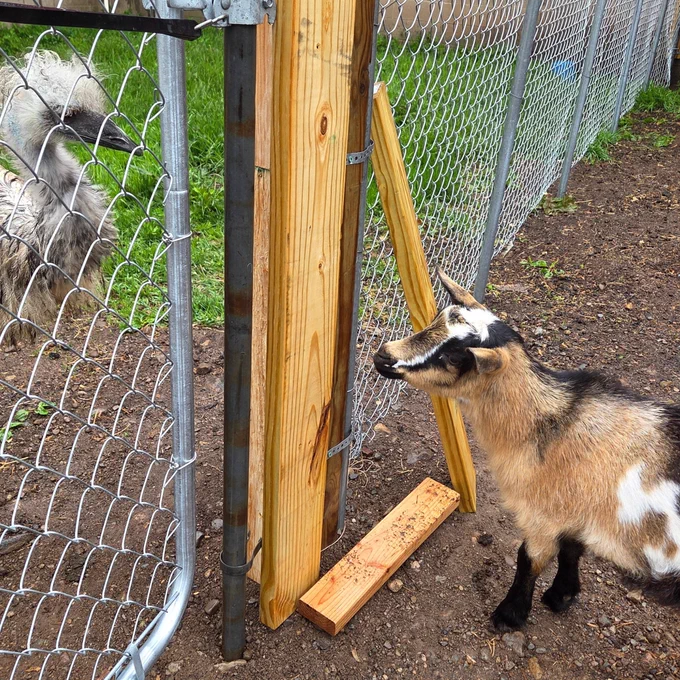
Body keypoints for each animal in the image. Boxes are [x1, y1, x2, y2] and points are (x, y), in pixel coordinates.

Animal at [374, 269, 680, 631]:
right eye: (435, 318)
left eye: (455, 357)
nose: (384, 356)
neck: (554, 423)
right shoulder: (573, 509)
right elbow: (571, 549)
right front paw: (562, 595)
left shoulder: (543, 513)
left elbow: (529, 559)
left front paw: (510, 614)